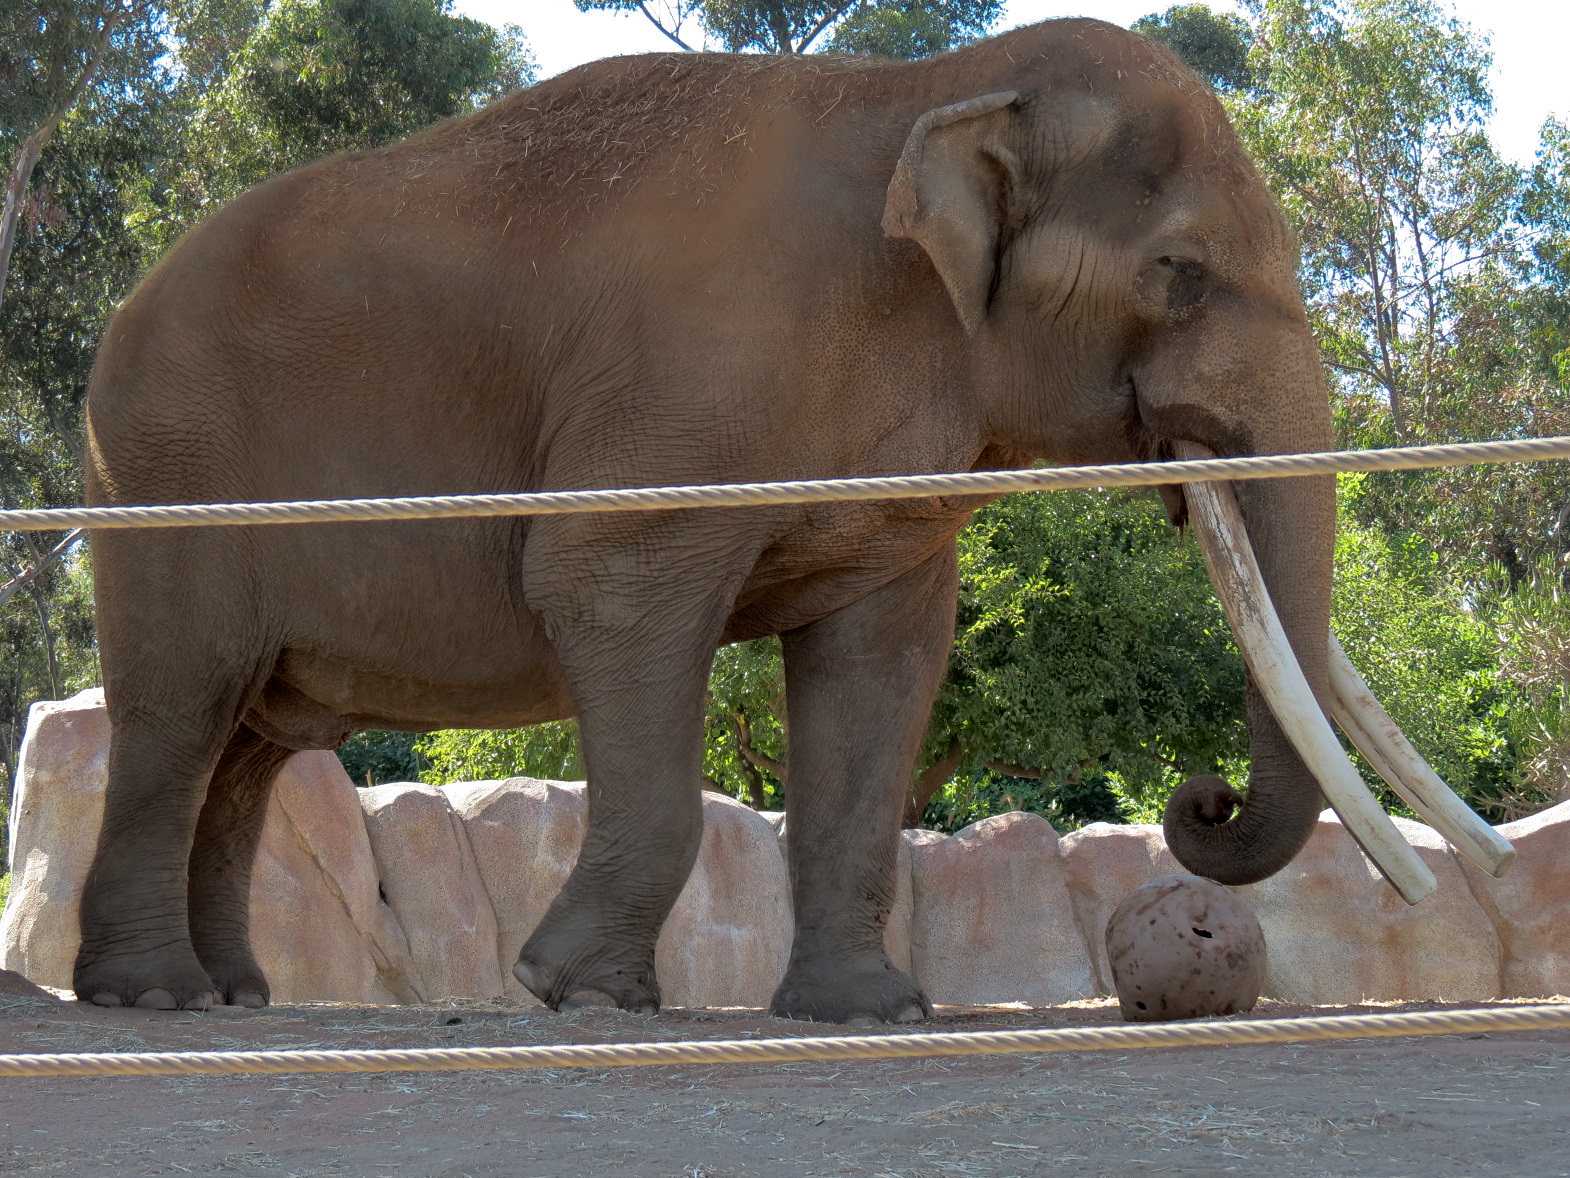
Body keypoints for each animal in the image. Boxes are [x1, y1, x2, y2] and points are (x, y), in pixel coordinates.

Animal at [75, 16, 1339, 1021]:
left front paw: (866, 1012)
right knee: (183, 707)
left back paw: (233, 991)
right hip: (166, 473)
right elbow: (600, 582)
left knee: (252, 740)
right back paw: (155, 996)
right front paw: (578, 991)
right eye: (1178, 269)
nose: (1204, 799)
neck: (928, 88)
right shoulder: (681, 392)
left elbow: (883, 652)